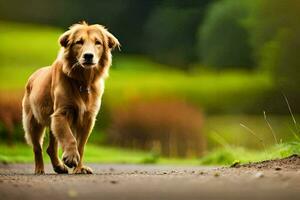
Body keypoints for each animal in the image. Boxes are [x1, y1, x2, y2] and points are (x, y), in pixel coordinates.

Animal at [22, 21, 119, 174]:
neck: (82, 81)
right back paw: (39, 169)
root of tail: (33, 75)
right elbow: (69, 137)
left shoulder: (88, 117)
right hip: (32, 121)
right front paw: (71, 158)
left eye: (98, 42)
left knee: (50, 148)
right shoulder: (61, 112)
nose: (88, 56)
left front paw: (79, 168)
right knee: (37, 147)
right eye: (79, 42)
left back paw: (59, 167)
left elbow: (81, 145)